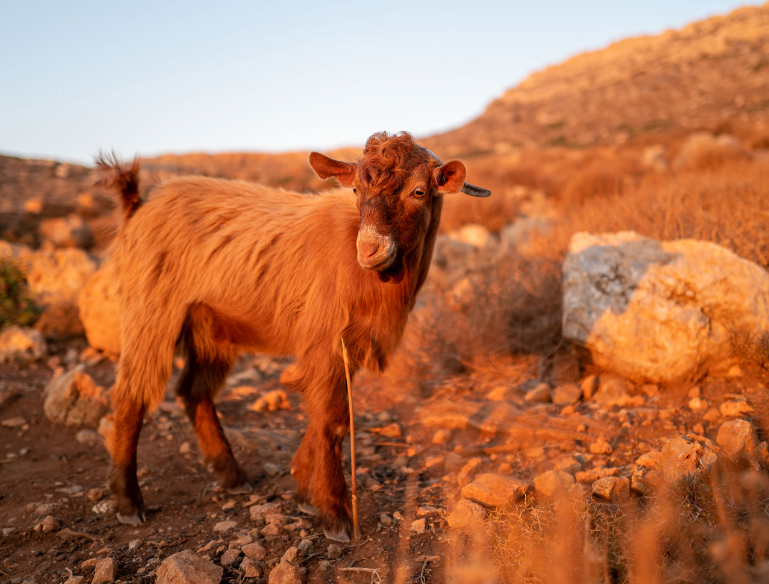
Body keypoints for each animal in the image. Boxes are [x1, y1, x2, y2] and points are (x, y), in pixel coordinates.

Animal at [96, 132, 488, 544]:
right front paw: (334, 514)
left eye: (418, 191)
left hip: (208, 327)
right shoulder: (327, 338)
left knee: (194, 391)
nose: (369, 249)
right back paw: (128, 502)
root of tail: (140, 204)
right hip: (151, 310)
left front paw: (302, 487)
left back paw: (231, 475)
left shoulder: (348, 345)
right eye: (355, 189)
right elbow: (333, 419)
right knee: (130, 396)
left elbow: (324, 413)